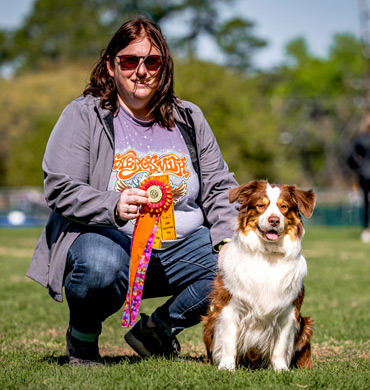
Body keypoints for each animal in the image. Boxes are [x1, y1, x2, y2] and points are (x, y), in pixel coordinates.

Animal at [202, 181, 316, 370]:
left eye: (283, 207)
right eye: (261, 206)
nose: (274, 220)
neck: (268, 254)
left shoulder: (288, 311)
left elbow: (280, 346)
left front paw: (281, 369)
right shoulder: (230, 307)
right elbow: (229, 341)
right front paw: (227, 367)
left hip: (305, 325)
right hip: (210, 319)